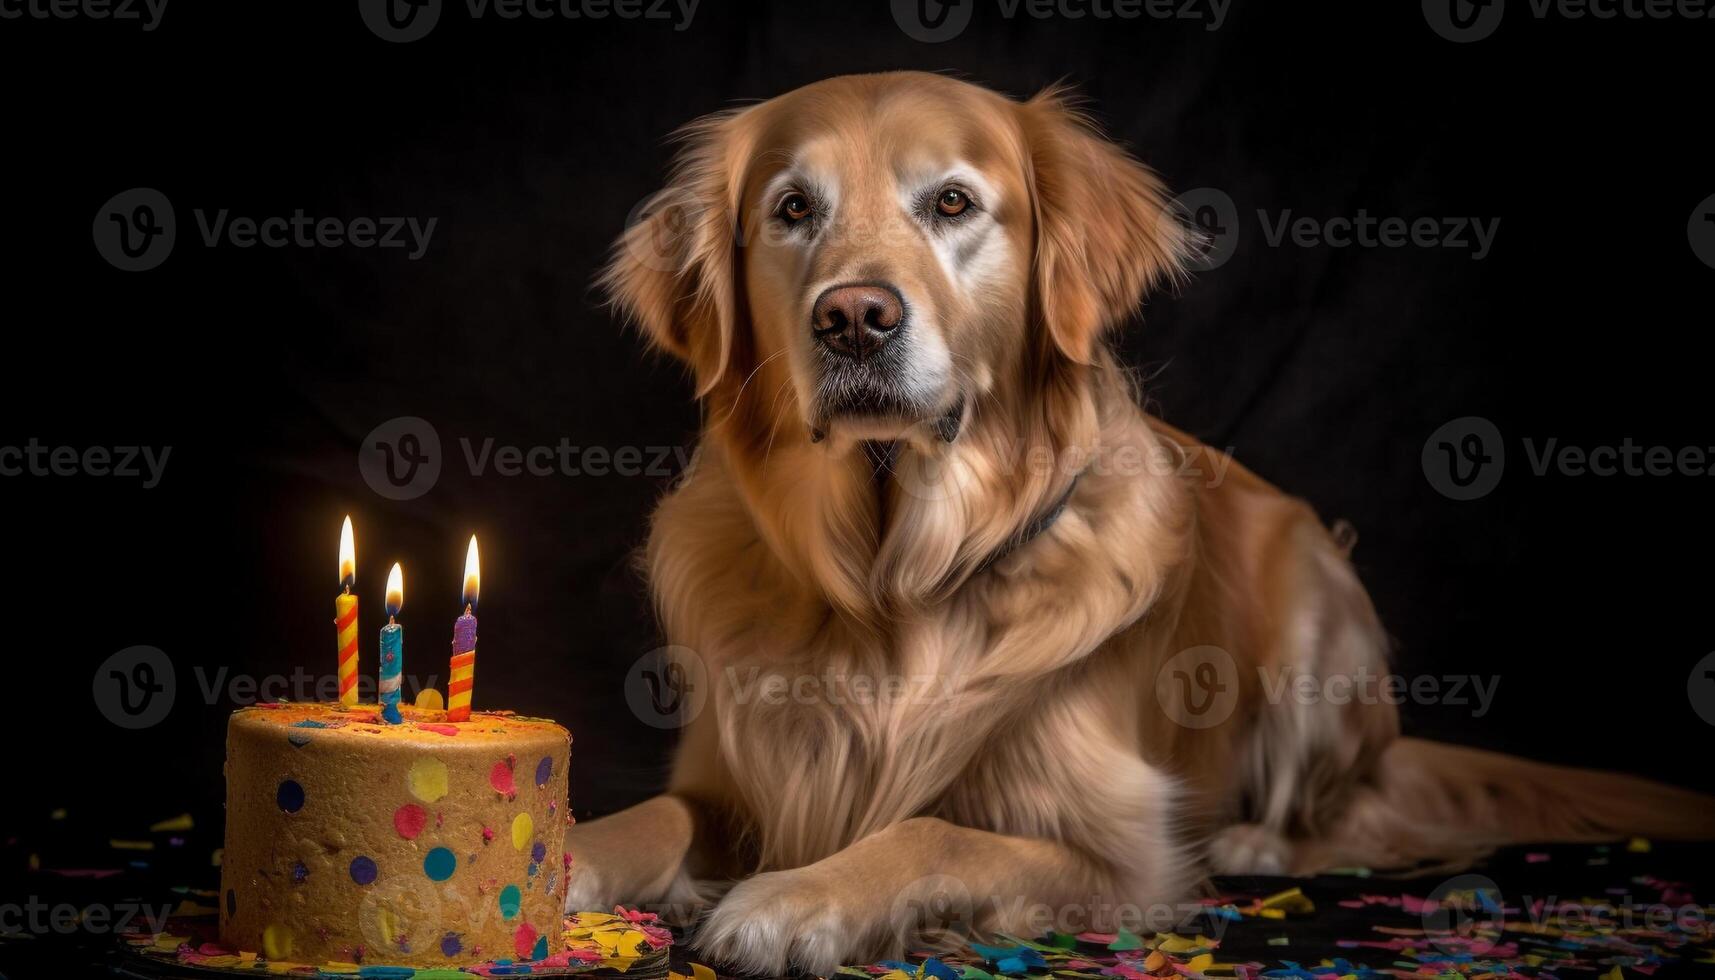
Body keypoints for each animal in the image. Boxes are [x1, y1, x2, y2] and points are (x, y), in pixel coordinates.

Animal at [572, 72, 1715, 974]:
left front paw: (794, 896)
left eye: (952, 202)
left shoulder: (1124, 856)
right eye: (792, 208)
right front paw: (569, 851)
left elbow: (931, 831)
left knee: (1343, 809)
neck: (895, 579)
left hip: (1318, 610)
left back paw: (1258, 841)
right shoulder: (733, 781)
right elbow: (656, 813)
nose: (854, 316)